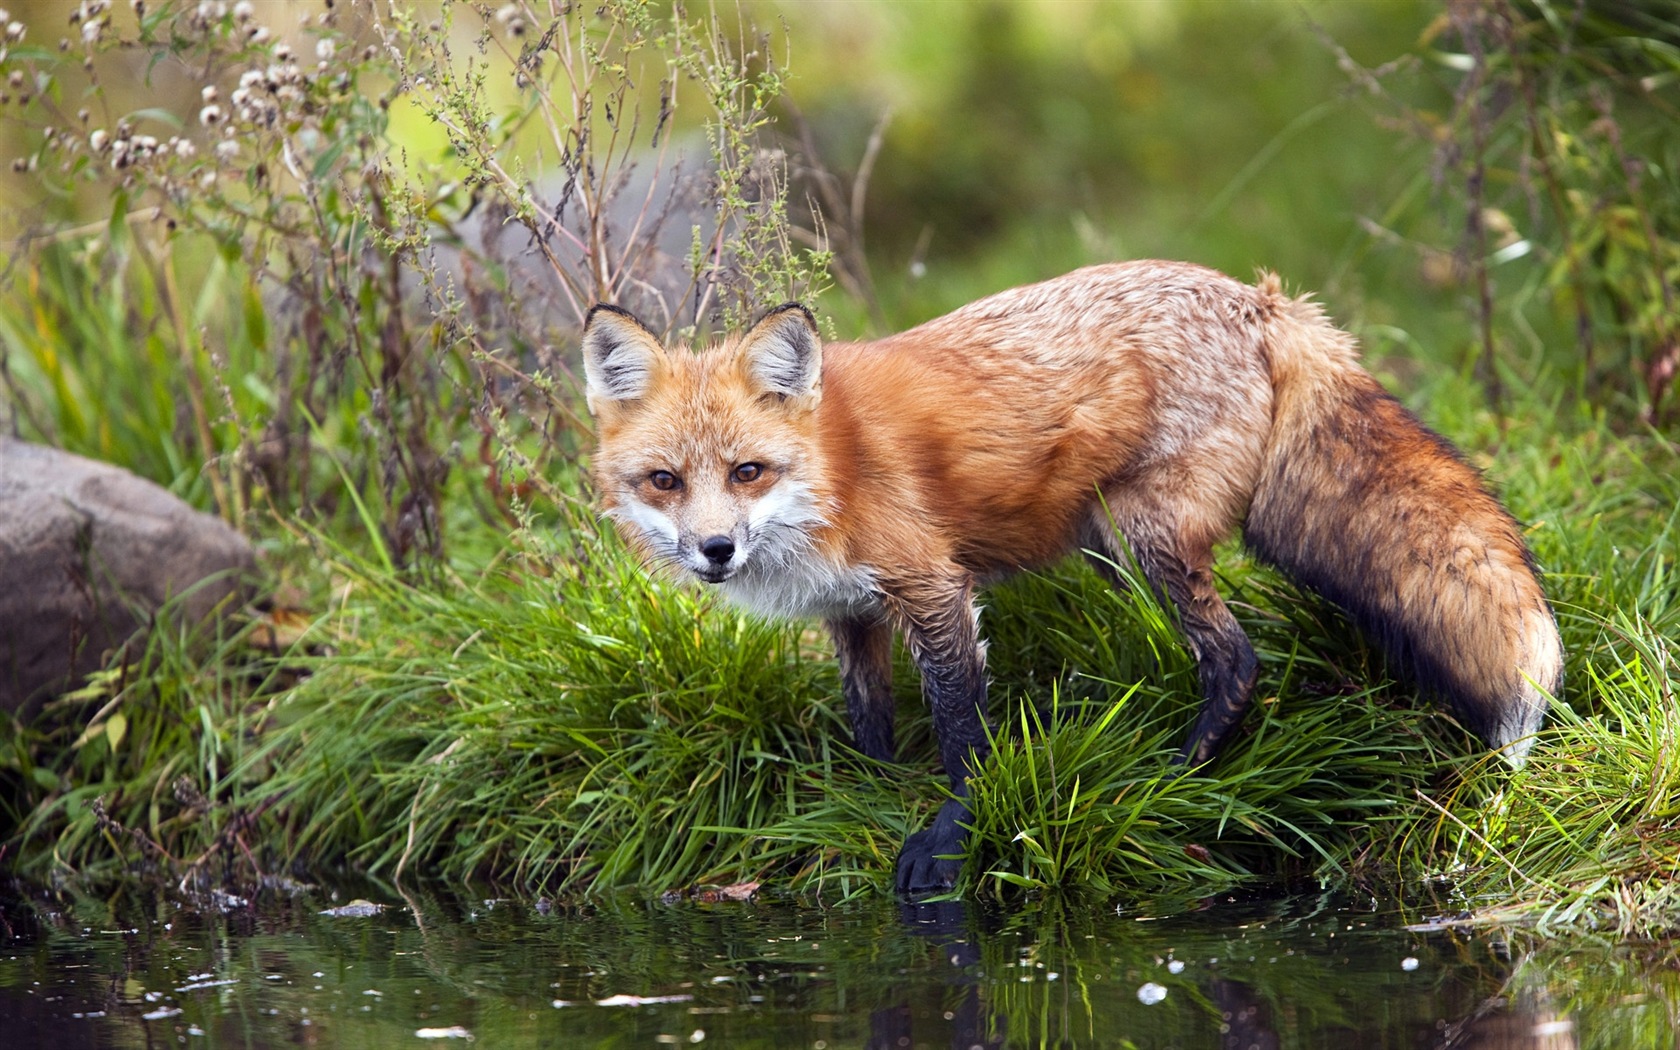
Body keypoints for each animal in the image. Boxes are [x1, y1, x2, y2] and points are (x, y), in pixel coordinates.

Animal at [584, 262, 1565, 893]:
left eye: (746, 471)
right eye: (665, 481)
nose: (715, 551)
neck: (834, 469)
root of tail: (1261, 298)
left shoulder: (933, 587)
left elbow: (962, 732)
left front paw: (950, 841)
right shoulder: (851, 615)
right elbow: (870, 724)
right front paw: (867, 804)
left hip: (1143, 539)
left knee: (1237, 658)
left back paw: (1175, 773)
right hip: (1115, 543)